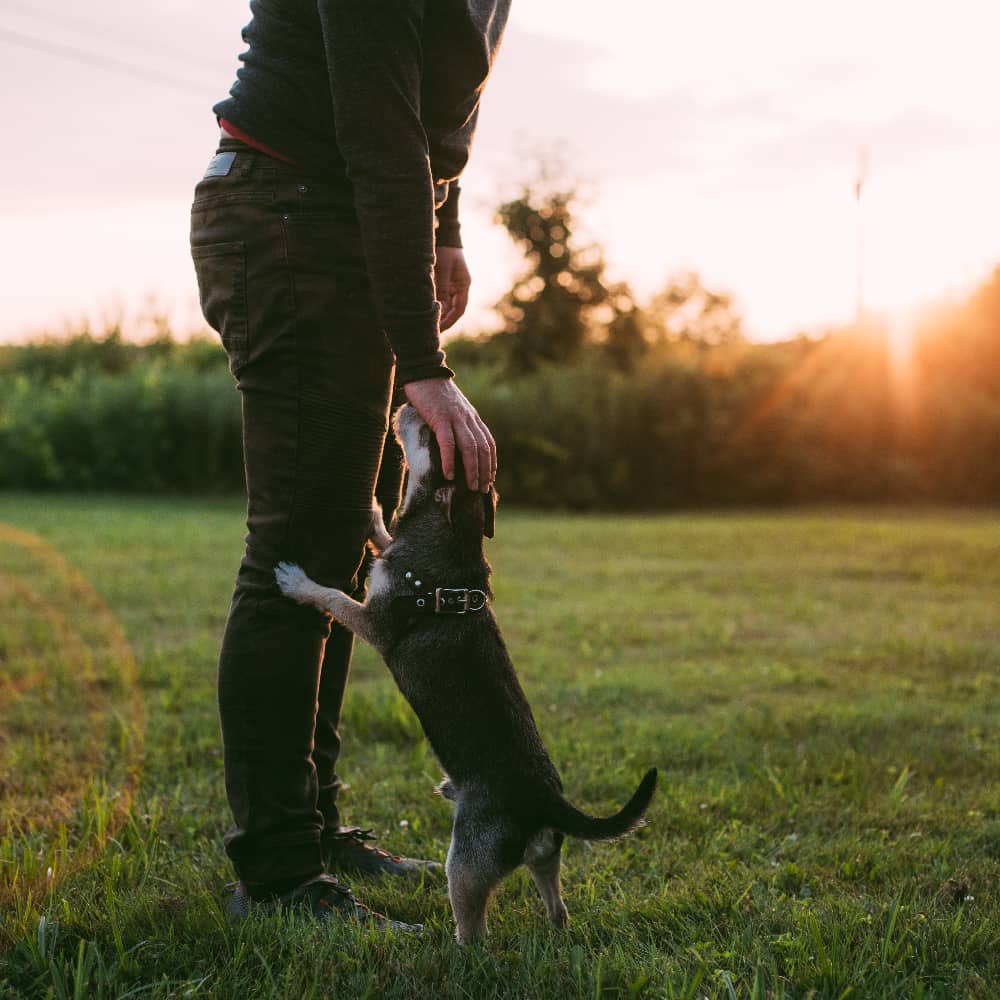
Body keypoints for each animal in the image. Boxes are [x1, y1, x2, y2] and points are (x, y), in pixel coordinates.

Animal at [278, 402, 660, 940]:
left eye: (428, 435)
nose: (405, 403)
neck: (451, 535)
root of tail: (544, 800)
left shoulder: (374, 621)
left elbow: (332, 596)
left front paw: (296, 581)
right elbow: (383, 535)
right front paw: (374, 509)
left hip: (465, 863)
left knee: (475, 933)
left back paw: (449, 946)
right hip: (545, 856)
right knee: (557, 902)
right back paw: (555, 928)